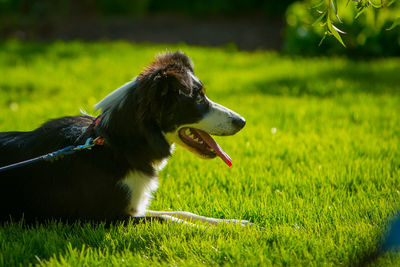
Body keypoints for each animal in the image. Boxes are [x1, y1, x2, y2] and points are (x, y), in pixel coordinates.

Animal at [0, 51, 248, 226]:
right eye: (198, 99)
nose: (242, 121)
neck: (117, 146)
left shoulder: (133, 206)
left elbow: (183, 212)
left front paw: (234, 224)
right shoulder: (104, 217)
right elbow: (169, 218)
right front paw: (212, 231)